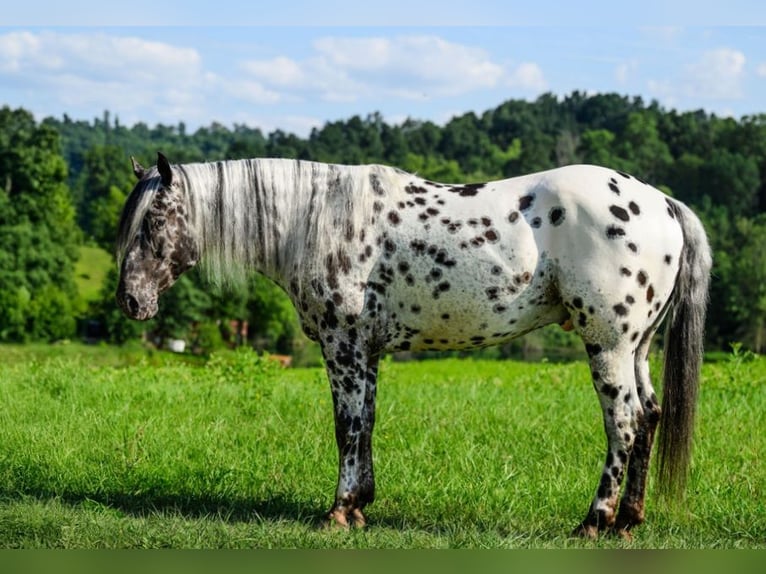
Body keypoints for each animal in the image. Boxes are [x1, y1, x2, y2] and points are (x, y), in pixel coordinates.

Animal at [116, 152, 711, 538]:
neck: (316, 218)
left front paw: (338, 512)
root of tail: (663, 203)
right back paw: (628, 521)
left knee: (624, 425)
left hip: (607, 346)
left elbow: (346, 426)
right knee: (650, 417)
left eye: (153, 222)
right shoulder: (367, 351)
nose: (129, 301)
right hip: (636, 348)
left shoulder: (343, 345)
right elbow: (366, 424)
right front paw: (361, 506)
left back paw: (594, 521)